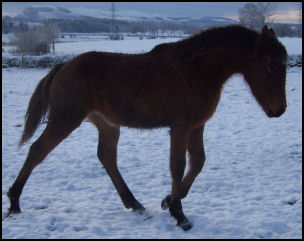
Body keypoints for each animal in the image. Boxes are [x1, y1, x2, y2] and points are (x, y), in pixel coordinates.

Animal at [6, 25, 288, 231]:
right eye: (272, 65)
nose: (280, 110)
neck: (195, 70)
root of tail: (63, 66)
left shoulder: (197, 126)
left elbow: (198, 162)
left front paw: (169, 201)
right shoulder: (180, 127)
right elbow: (178, 166)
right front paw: (179, 214)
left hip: (108, 126)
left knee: (107, 158)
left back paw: (134, 203)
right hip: (66, 119)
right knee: (37, 151)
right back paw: (14, 202)